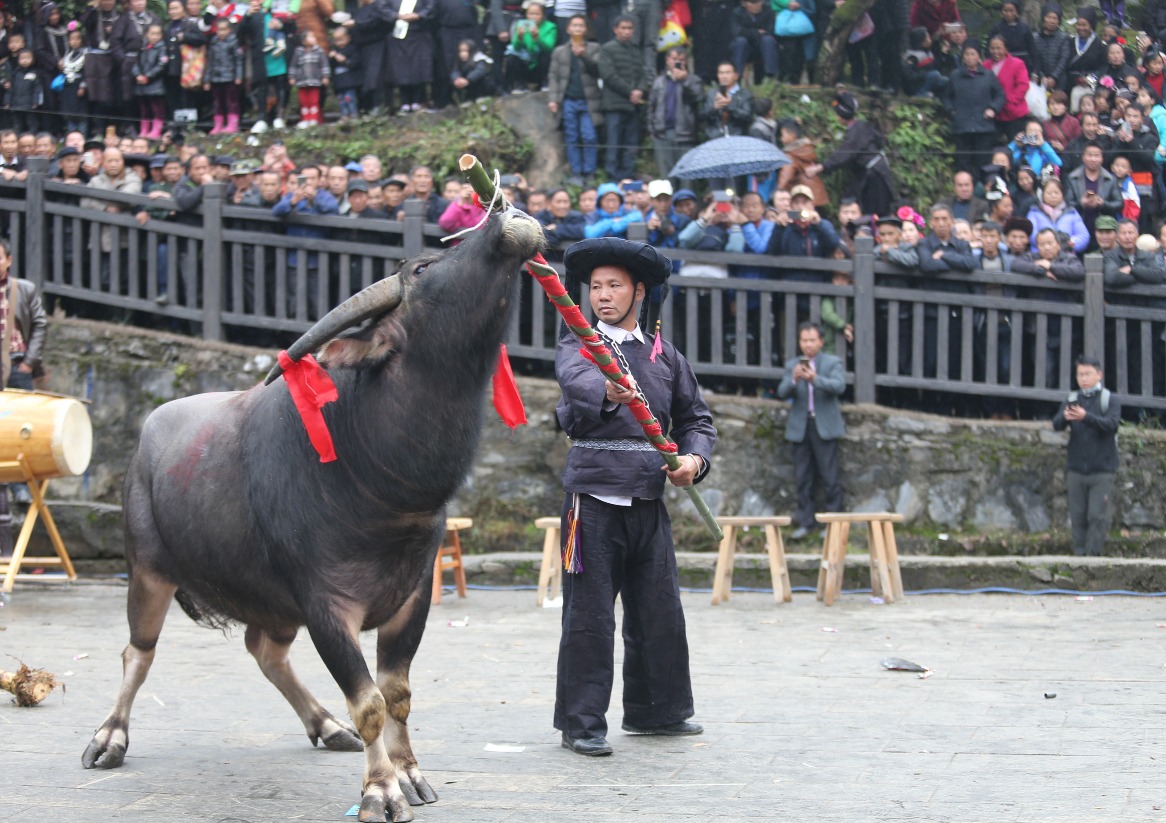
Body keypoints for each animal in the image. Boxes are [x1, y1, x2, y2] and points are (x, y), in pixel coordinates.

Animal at [82, 206, 545, 820]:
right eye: (422, 269)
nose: (506, 215)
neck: (379, 492)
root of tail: (146, 439)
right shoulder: (325, 605)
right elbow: (368, 702)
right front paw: (380, 790)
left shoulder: (413, 596)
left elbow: (396, 695)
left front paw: (409, 772)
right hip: (148, 570)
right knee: (138, 652)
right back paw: (109, 737)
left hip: (271, 602)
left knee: (265, 652)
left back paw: (325, 726)